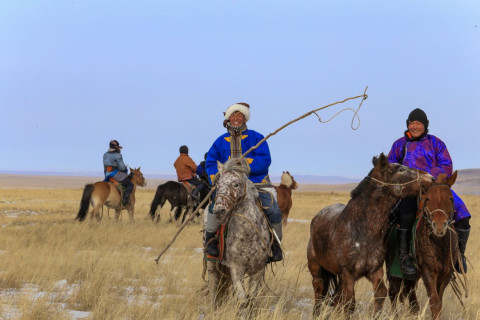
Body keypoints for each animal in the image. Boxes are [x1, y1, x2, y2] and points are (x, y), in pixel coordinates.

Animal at [207, 158, 272, 310]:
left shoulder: (258, 270)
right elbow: (242, 300)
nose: (219, 210)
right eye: (218, 184)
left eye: (236, 184)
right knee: (213, 286)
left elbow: (251, 299)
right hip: (212, 265)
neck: (247, 235)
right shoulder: (236, 269)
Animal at [308, 154, 436, 316]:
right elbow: (349, 303)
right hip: (317, 270)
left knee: (336, 298)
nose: (430, 178)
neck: (362, 230)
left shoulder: (375, 271)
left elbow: (380, 294)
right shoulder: (348, 272)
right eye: (401, 169)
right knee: (319, 293)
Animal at [388, 172, 460, 320]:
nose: (439, 226)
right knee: (393, 293)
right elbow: (435, 302)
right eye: (428, 199)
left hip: (411, 277)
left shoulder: (446, 274)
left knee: (411, 297)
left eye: (450, 199)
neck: (440, 245)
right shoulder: (428, 271)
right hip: (394, 273)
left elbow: (439, 302)